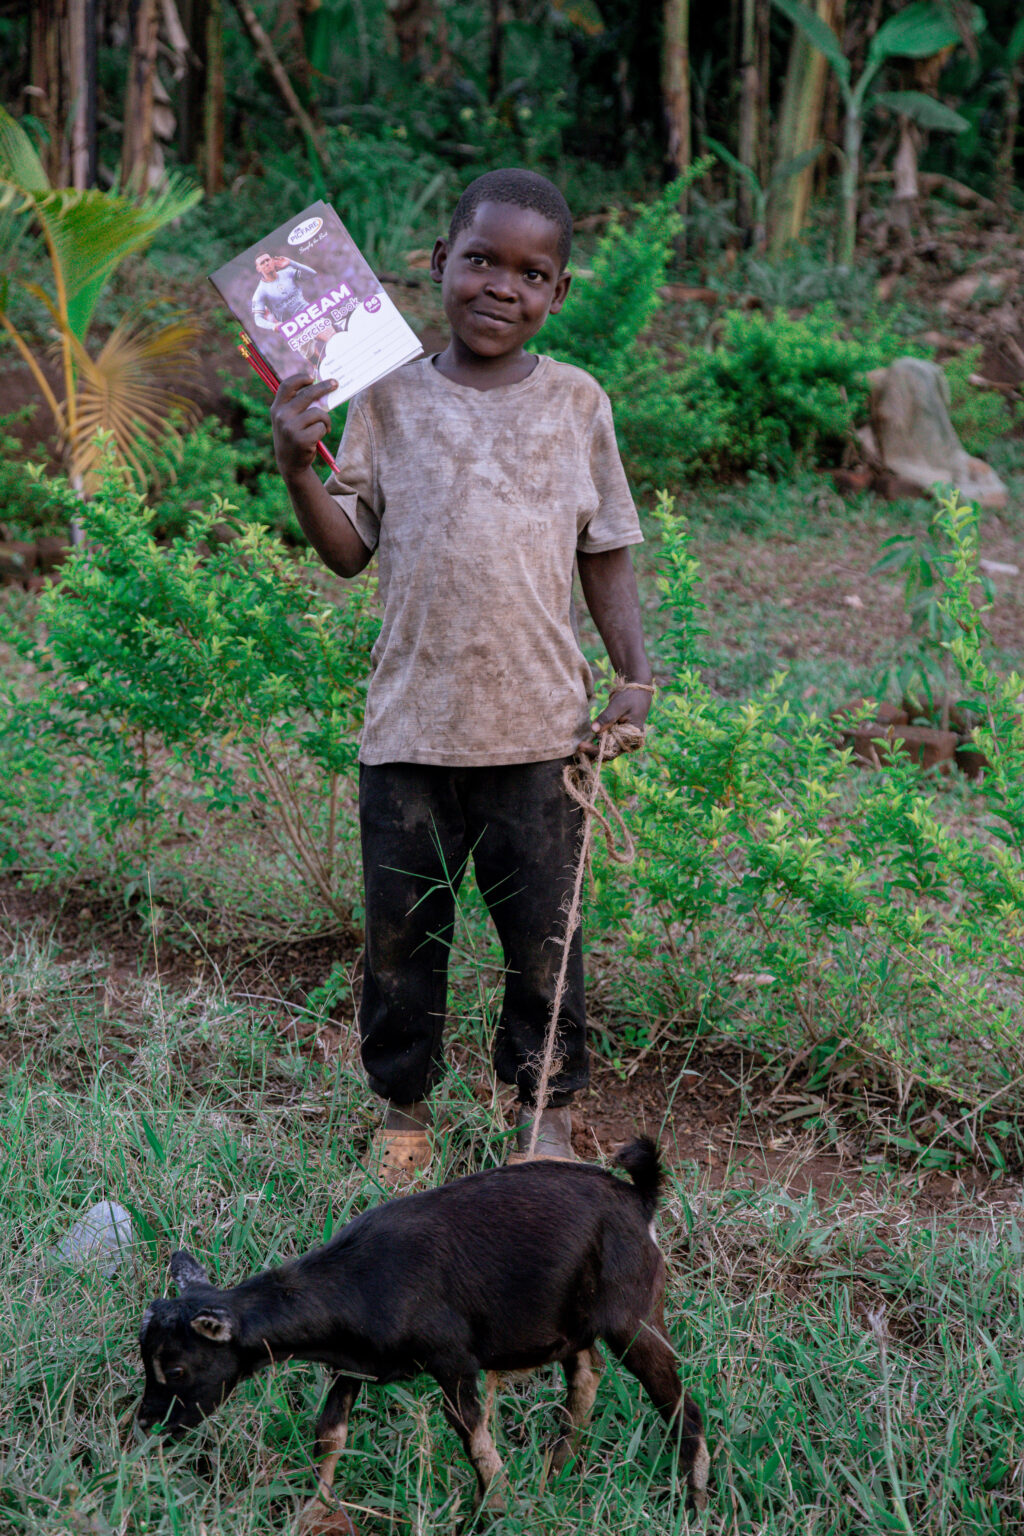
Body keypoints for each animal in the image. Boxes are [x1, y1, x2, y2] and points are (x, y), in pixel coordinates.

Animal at [135, 1142, 709, 1523]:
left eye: (177, 1368)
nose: (146, 1424)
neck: (358, 1281)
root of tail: (639, 1200)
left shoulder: (452, 1360)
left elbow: (477, 1443)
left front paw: (493, 1512)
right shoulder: (353, 1365)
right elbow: (330, 1434)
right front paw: (316, 1512)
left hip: (634, 1316)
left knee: (682, 1406)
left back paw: (693, 1503)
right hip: (573, 1322)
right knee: (585, 1378)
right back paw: (554, 1475)